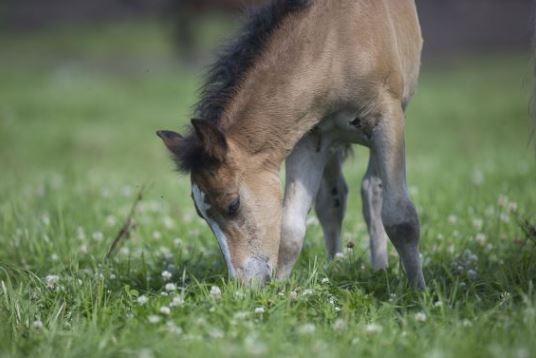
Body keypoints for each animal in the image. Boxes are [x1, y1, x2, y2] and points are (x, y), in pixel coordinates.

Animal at [157, 0, 426, 288]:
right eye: (201, 215)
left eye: (233, 205)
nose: (241, 285)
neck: (337, 41)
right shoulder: (310, 139)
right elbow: (290, 228)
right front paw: (279, 291)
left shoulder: (388, 120)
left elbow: (401, 218)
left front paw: (417, 291)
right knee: (333, 199)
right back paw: (335, 265)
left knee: (371, 191)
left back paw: (380, 267)